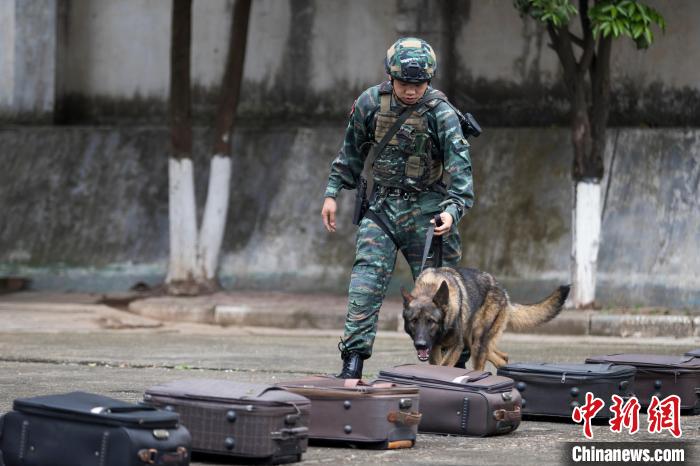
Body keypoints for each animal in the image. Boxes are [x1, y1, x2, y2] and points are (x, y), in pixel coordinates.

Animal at [402, 268, 572, 370]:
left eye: (431, 321)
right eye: (414, 321)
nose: (421, 344)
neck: (430, 288)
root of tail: (504, 294)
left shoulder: (456, 346)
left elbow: (443, 367)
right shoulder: (434, 349)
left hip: (476, 343)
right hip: (473, 343)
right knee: (502, 358)